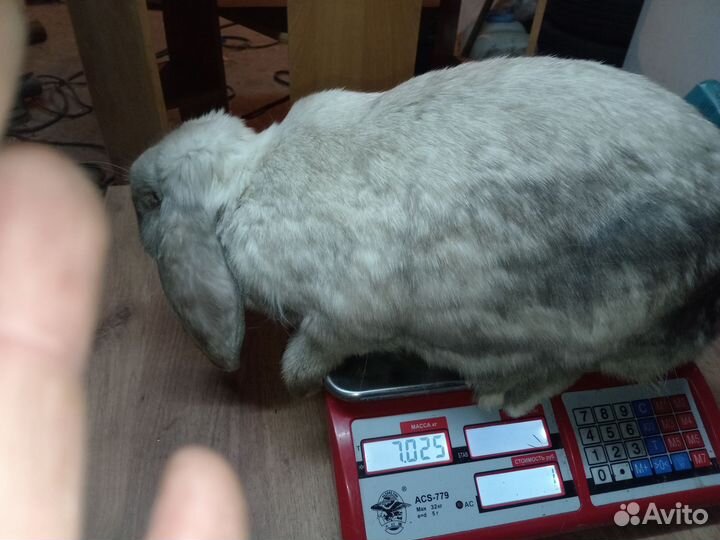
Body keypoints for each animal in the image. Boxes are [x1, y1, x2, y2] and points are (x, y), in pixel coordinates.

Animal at [130, 57, 720, 416]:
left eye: (151, 200)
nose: (132, 175)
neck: (247, 180)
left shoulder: (343, 317)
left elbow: (313, 349)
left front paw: (295, 383)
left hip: (598, 323)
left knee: (568, 368)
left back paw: (502, 399)